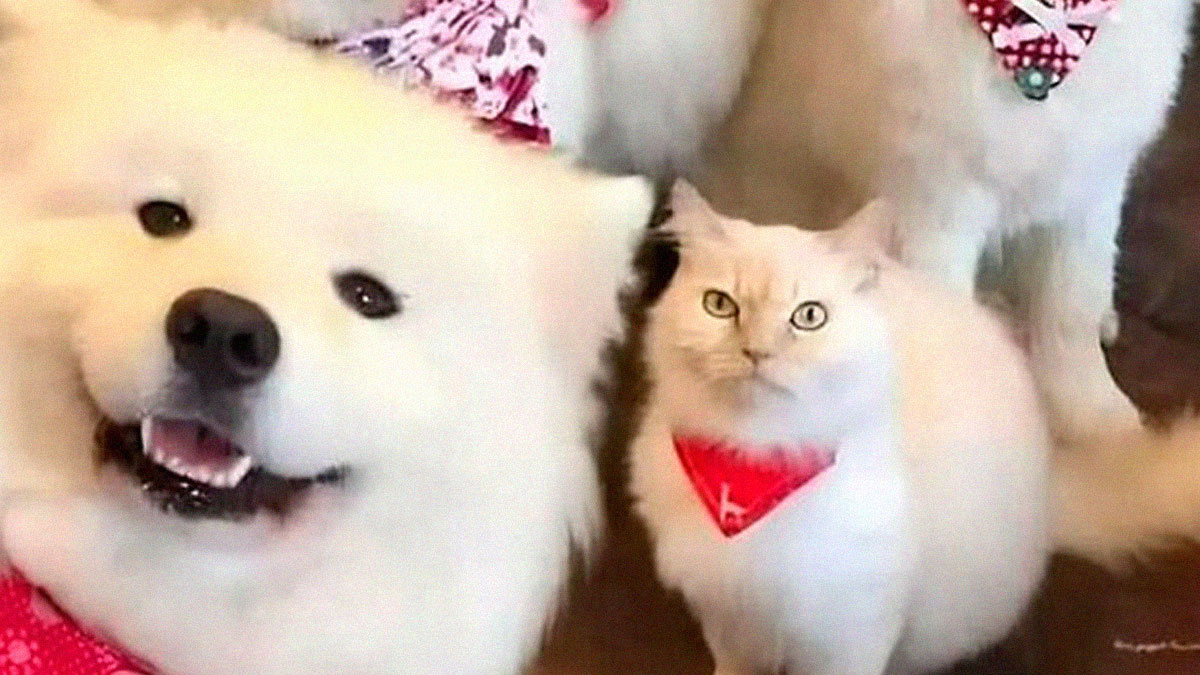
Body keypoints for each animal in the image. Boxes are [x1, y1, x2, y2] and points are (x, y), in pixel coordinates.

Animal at [629, 182, 1050, 675]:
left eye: (809, 316)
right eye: (719, 306)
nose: (757, 352)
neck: (756, 455)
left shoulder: (852, 628)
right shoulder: (731, 614)